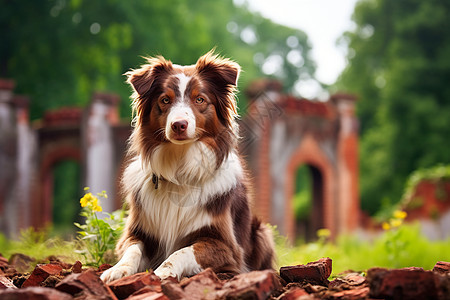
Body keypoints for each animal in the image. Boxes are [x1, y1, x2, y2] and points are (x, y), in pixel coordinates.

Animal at [100, 50, 274, 282]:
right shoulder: (137, 232)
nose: (179, 125)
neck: (179, 169)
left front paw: (162, 272)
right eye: (165, 100)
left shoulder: (225, 245)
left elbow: (181, 251)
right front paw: (117, 269)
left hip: (262, 232)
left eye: (199, 99)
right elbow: (131, 249)